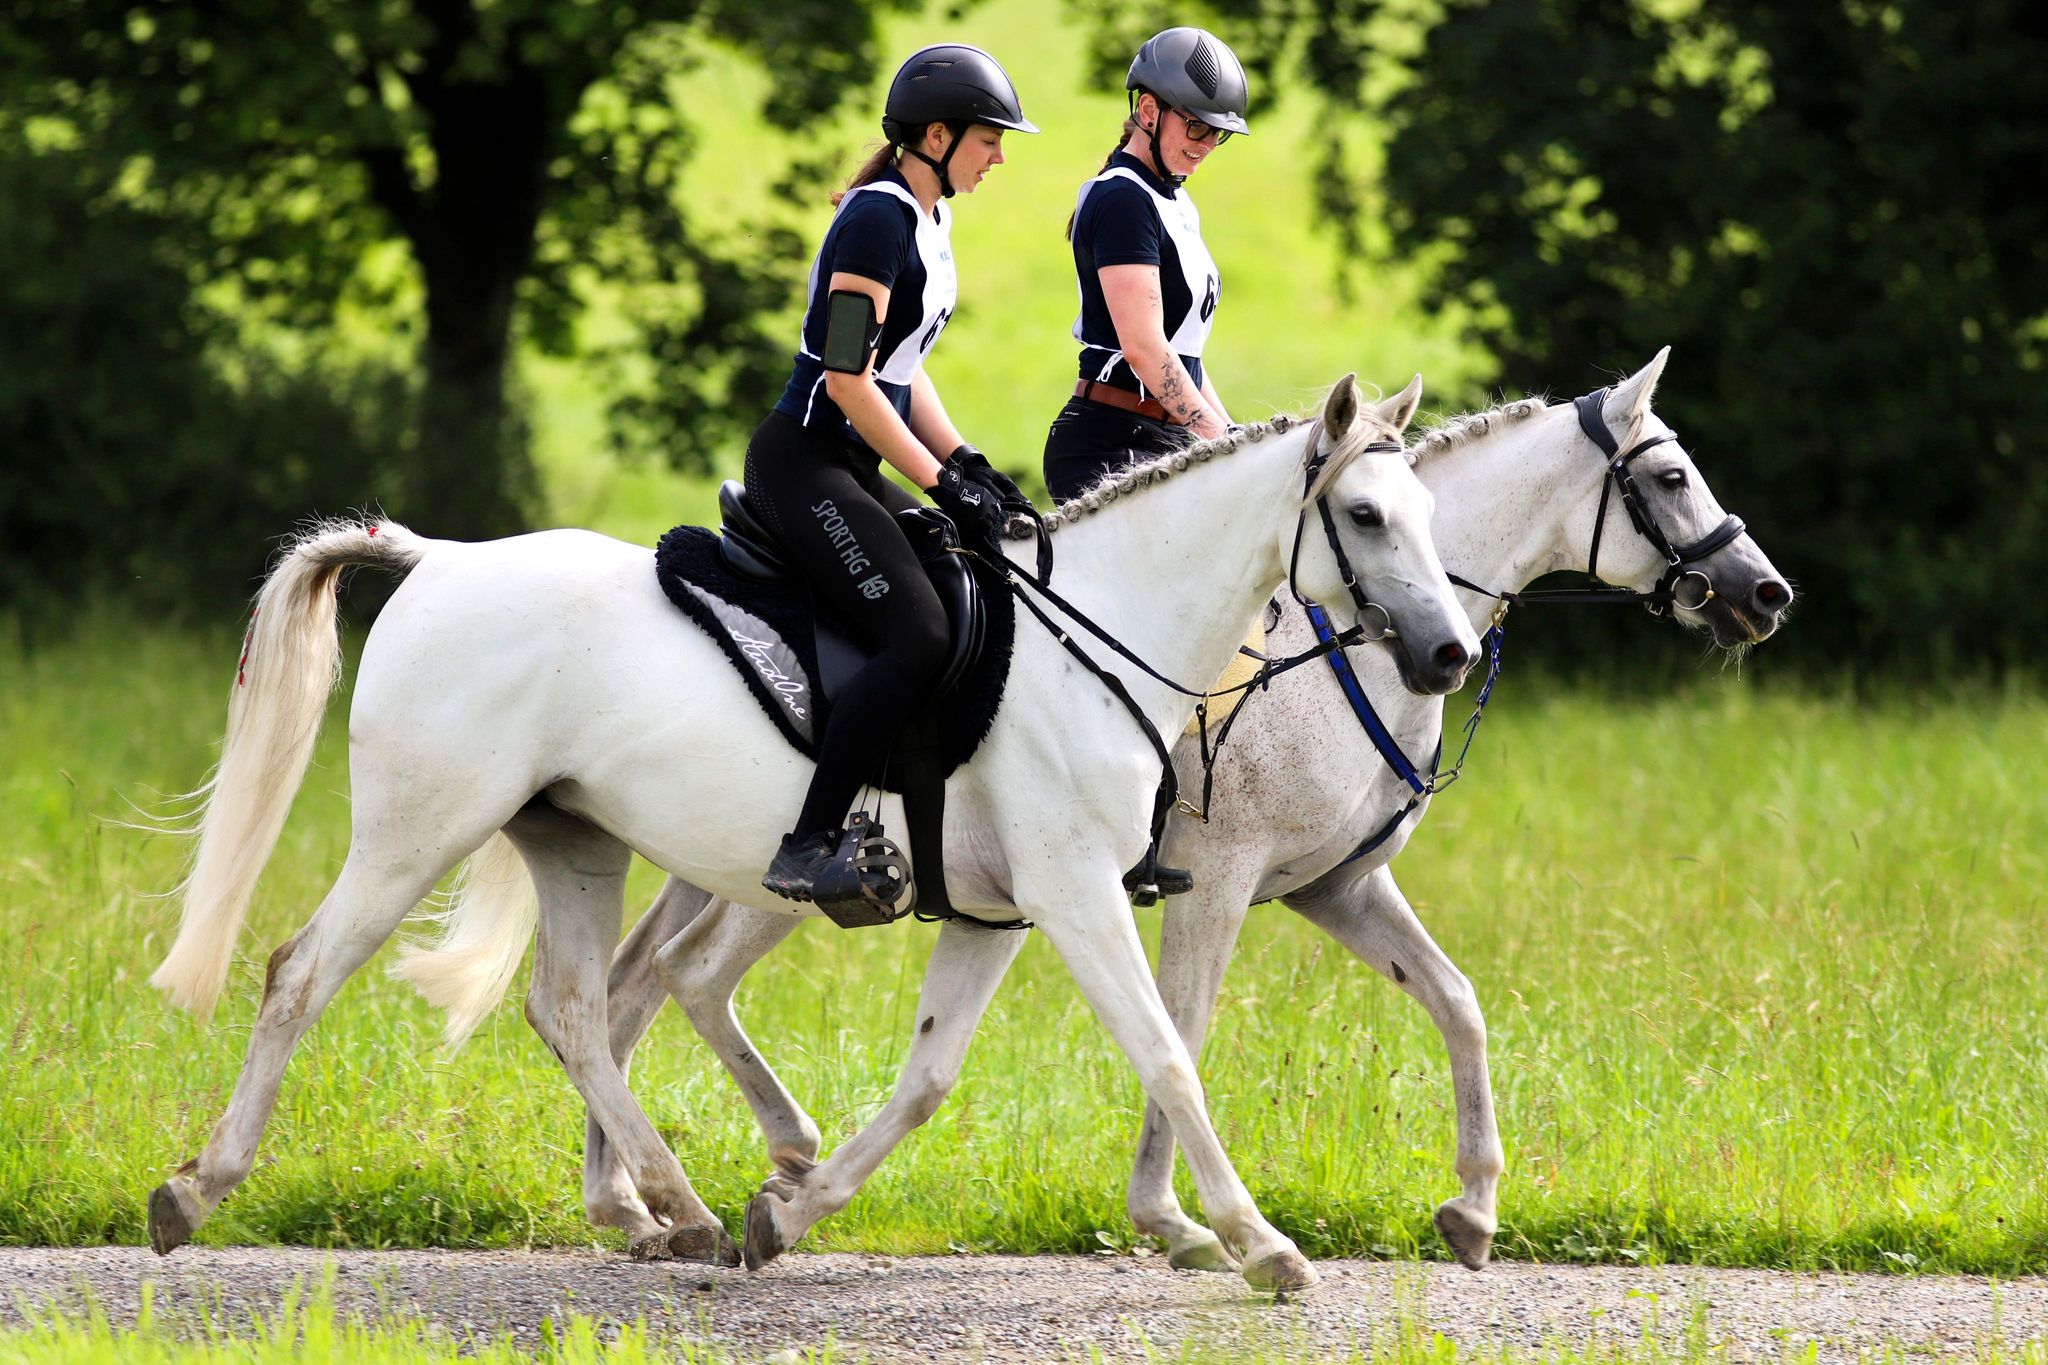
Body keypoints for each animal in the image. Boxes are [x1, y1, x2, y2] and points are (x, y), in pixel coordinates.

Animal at [151, 374, 1482, 1293]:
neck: (1098, 638)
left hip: (573, 842)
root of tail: (440, 560)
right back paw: (198, 1190)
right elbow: (1166, 1057)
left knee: (574, 1013)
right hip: (417, 831)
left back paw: (679, 1209)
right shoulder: (1078, 898)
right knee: (302, 974)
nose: (1447, 654)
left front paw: (784, 1213)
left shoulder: (1002, 913)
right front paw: (1258, 1245)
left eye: (1429, 511)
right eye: (1365, 514)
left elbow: (927, 1079)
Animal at [577, 349, 1794, 1268]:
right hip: (786, 881)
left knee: (627, 986)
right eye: (1671, 476)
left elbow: (1456, 1001)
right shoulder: (1212, 882)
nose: (1766, 593)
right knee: (681, 977)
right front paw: (1183, 1222)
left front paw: (1472, 1206)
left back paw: (641, 1204)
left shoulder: (1339, 888)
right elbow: (1183, 1034)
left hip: (704, 856)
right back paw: (722, 1179)